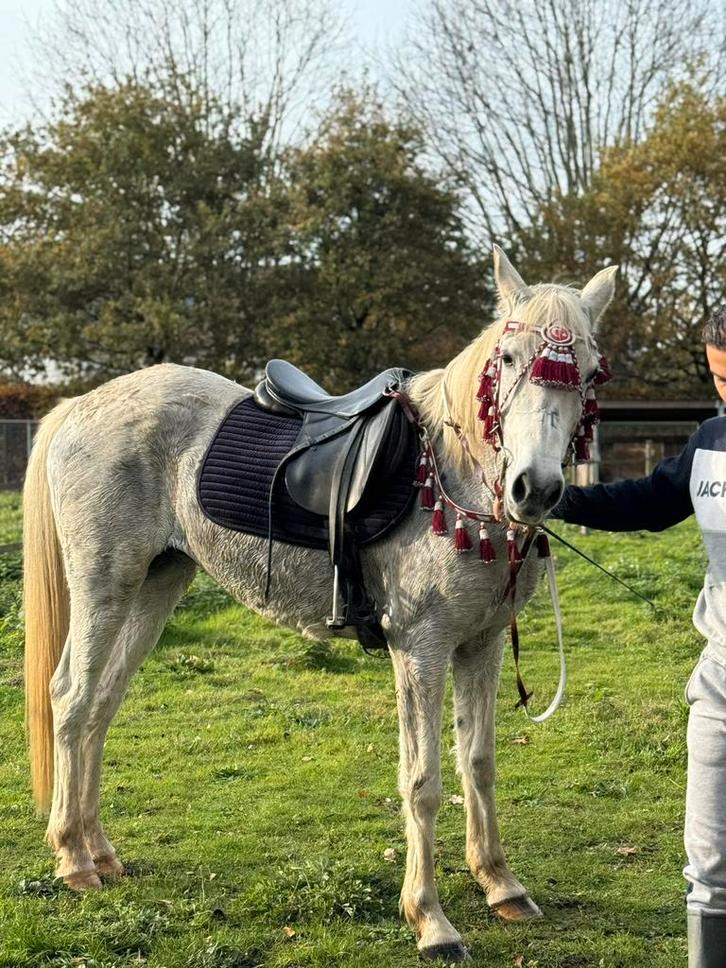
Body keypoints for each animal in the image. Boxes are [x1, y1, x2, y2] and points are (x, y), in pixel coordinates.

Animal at [23, 246, 617, 962]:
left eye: (588, 371)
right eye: (506, 360)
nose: (536, 488)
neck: (450, 474)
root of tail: (81, 406)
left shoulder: (481, 643)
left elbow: (478, 763)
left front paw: (500, 884)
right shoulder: (421, 648)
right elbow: (423, 781)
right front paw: (431, 921)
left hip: (156, 586)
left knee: (101, 706)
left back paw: (101, 852)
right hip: (103, 586)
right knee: (71, 700)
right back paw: (73, 859)